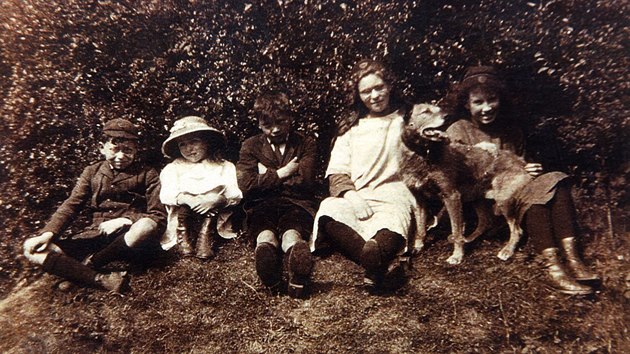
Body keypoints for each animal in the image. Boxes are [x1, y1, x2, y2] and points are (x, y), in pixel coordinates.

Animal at [400, 103, 532, 264]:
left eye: (439, 109)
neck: (423, 154)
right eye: (426, 111)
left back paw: (507, 250)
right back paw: (469, 239)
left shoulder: (451, 196)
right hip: (476, 199)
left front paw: (457, 256)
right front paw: (418, 246)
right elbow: (420, 228)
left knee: (516, 230)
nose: (447, 116)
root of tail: (520, 161)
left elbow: (456, 230)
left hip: (503, 200)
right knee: (485, 221)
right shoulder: (419, 199)